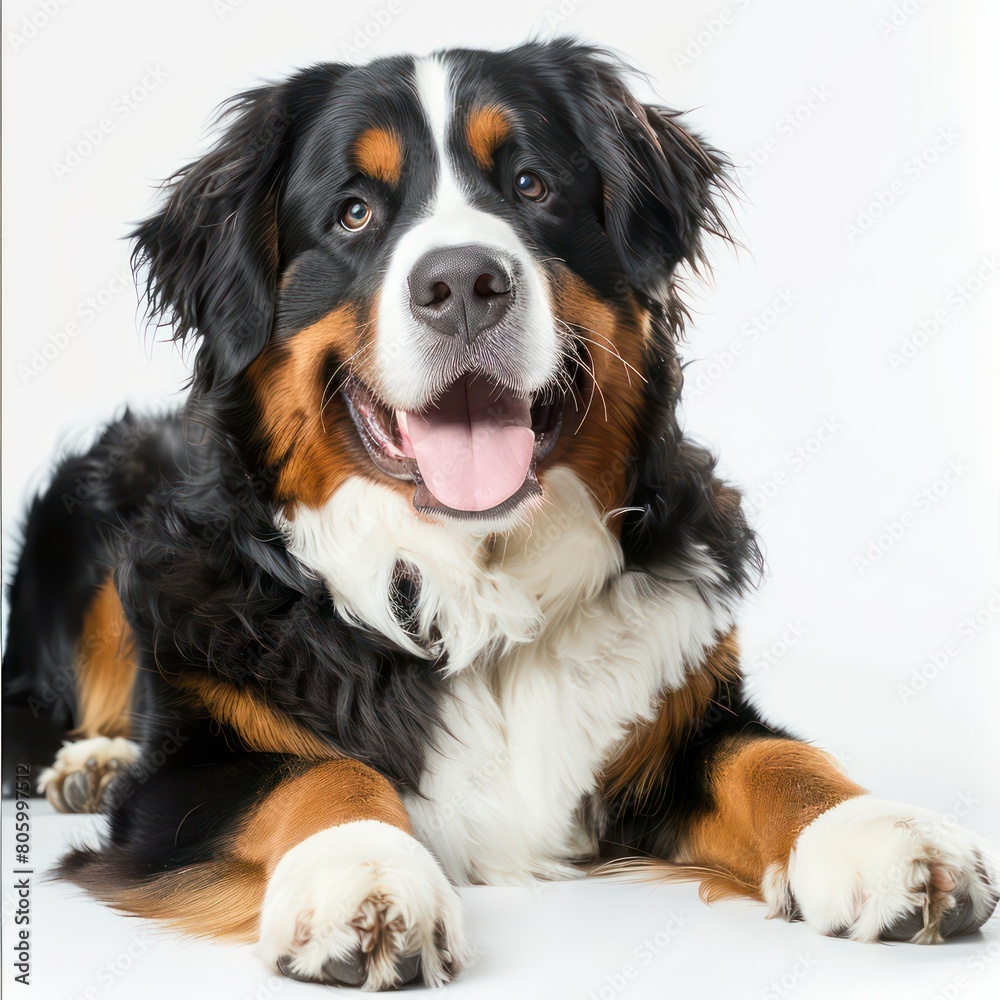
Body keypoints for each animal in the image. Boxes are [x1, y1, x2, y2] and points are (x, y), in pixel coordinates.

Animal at [3, 39, 996, 992]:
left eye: (530, 186)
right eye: (354, 212)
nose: (463, 283)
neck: (476, 578)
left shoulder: (682, 716)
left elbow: (776, 760)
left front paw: (890, 836)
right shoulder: (187, 775)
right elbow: (321, 772)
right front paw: (362, 880)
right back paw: (92, 763)